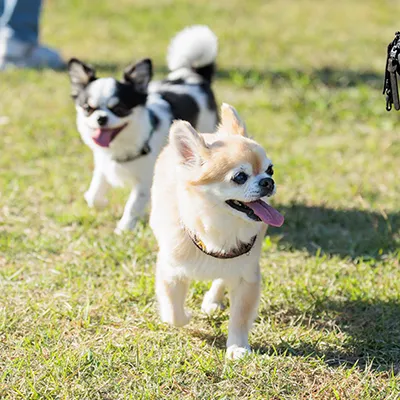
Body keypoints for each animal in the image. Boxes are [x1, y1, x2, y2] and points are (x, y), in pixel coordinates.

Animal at [68, 25, 219, 231]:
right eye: (88, 108)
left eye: (120, 109)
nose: (101, 118)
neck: (120, 147)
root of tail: (195, 77)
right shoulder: (103, 166)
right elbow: (94, 193)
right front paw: (101, 203)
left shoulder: (145, 181)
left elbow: (133, 205)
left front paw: (124, 229)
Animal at [150, 103, 284, 360]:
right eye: (239, 177)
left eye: (271, 170)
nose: (268, 182)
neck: (219, 227)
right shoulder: (171, 271)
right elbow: (173, 312)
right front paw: (184, 317)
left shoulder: (247, 276)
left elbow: (240, 317)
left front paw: (237, 346)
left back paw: (213, 299)